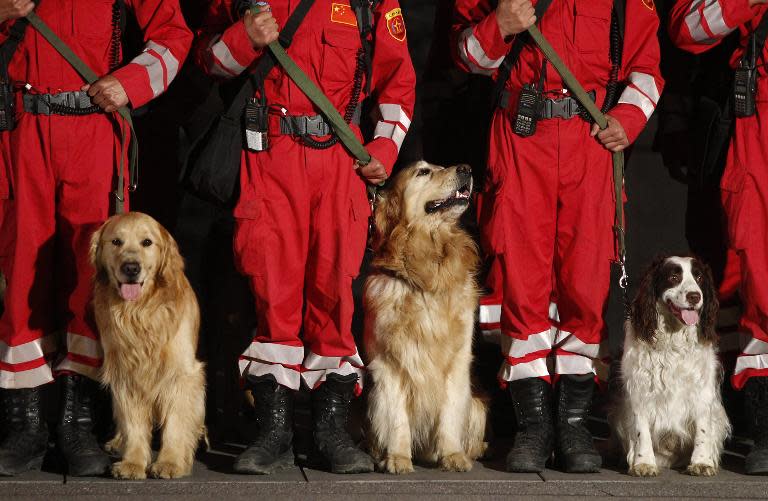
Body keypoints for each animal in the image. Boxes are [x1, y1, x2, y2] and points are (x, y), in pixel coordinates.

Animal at [90, 210, 206, 476]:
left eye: (147, 242)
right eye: (116, 242)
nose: (131, 268)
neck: (140, 311)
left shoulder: (182, 373)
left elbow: (176, 422)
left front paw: (170, 462)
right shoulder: (126, 373)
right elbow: (133, 424)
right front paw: (132, 462)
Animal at [612, 258, 732, 476]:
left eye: (699, 277)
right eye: (674, 277)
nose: (695, 296)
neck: (674, 337)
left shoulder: (702, 389)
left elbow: (703, 429)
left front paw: (702, 462)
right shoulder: (639, 388)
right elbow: (641, 430)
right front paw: (643, 462)